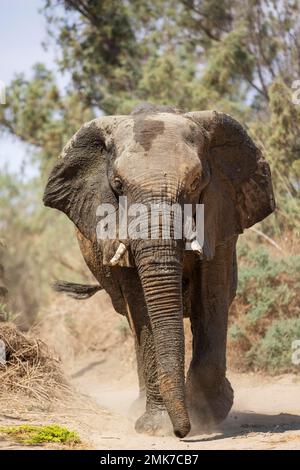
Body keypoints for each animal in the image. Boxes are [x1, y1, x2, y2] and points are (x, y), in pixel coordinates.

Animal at [43, 103, 276, 436]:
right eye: (117, 186)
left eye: (196, 183)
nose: (182, 432)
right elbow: (142, 306)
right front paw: (158, 427)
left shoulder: (221, 211)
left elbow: (212, 297)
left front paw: (209, 413)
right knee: (132, 321)